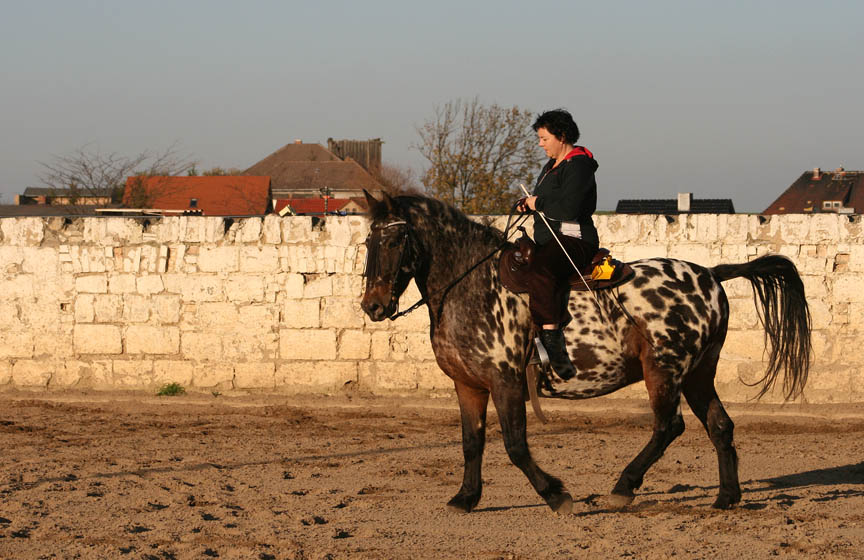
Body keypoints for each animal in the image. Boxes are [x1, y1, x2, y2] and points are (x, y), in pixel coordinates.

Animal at [359, 191, 810, 514]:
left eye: (396, 239)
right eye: (368, 240)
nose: (373, 305)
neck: (470, 286)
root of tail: (711, 274)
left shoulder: (505, 382)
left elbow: (515, 445)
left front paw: (556, 494)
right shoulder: (469, 385)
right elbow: (472, 443)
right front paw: (465, 498)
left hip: (663, 370)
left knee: (668, 427)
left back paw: (624, 487)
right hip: (698, 374)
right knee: (719, 425)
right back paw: (726, 497)